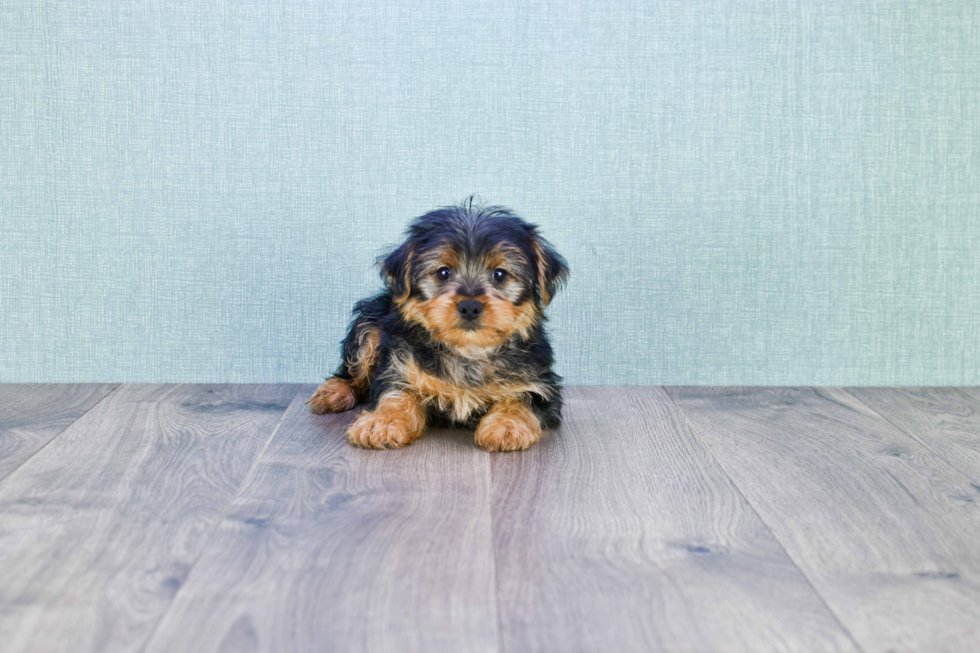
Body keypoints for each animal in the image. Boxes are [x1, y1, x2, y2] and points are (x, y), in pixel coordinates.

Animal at [306, 199, 568, 450]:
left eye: (500, 274)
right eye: (443, 273)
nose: (470, 306)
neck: (468, 351)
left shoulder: (539, 381)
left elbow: (523, 398)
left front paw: (507, 425)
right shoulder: (398, 364)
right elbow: (397, 391)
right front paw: (383, 422)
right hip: (370, 323)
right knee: (355, 372)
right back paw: (334, 392)